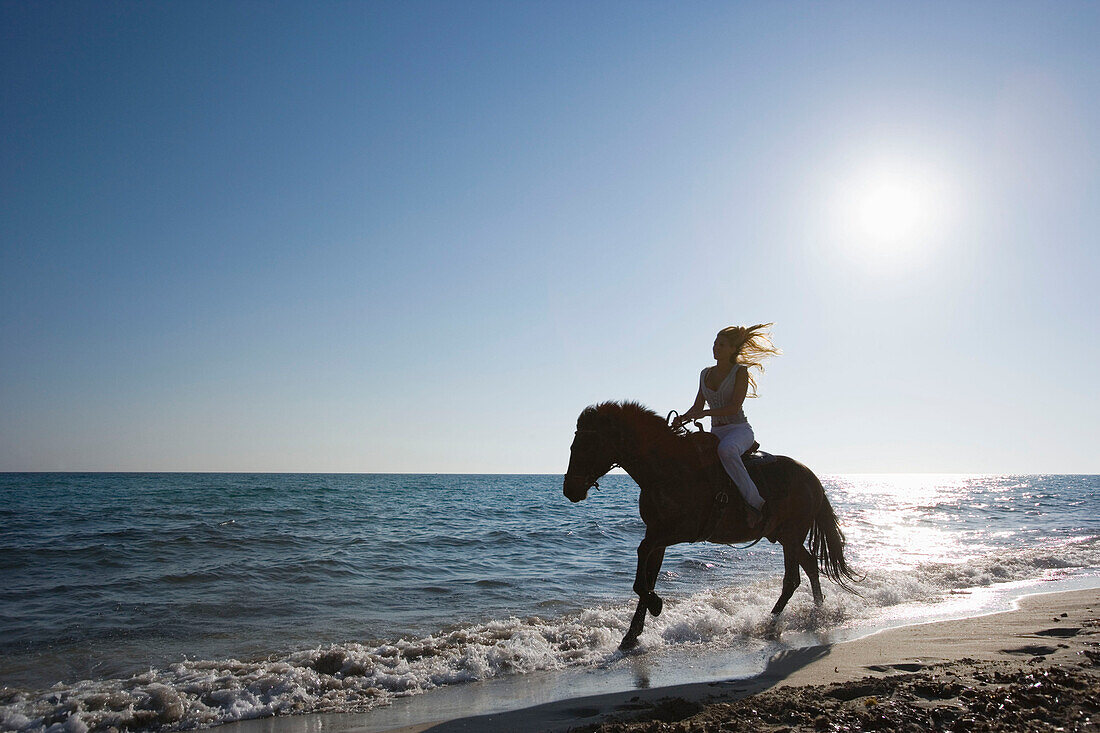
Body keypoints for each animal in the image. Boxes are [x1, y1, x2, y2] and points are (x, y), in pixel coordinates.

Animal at [558, 402, 858, 647]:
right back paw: (819, 614)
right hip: (785, 536)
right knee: (810, 567)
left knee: (792, 579)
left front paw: (655, 604)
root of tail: (812, 477)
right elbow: (647, 575)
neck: (666, 468)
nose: (570, 489)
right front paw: (632, 634)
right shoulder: (656, 534)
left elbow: (642, 563)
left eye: (587, 446)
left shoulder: (679, 531)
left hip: (793, 535)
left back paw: (770, 623)